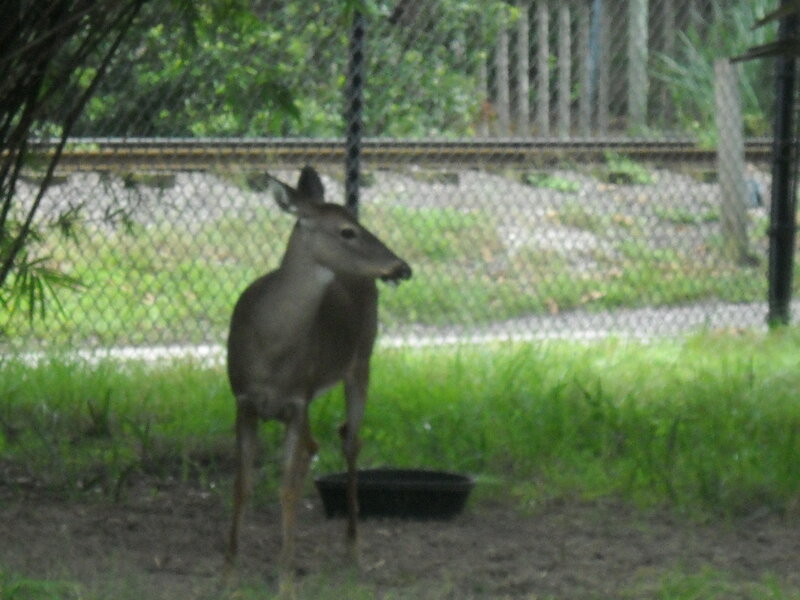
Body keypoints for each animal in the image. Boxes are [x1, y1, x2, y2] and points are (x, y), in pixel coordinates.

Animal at [224, 166, 412, 587]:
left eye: (356, 222)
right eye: (347, 231)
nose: (402, 267)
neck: (270, 351)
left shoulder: (298, 400)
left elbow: (287, 490)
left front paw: (285, 579)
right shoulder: (243, 400)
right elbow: (242, 483)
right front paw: (229, 569)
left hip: (361, 360)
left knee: (350, 441)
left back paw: (352, 548)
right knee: (320, 444)